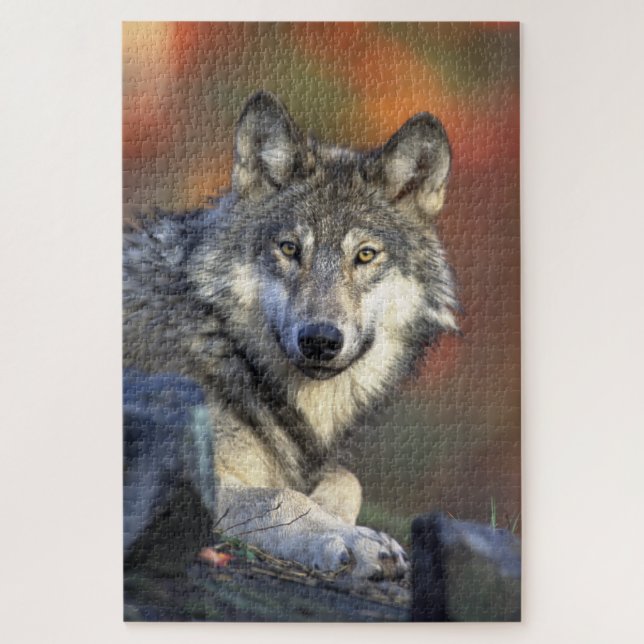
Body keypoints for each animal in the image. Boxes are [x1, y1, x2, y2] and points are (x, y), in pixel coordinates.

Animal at [123, 91, 458, 580]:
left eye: (365, 255)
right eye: (289, 249)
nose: (320, 340)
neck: (227, 346)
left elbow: (347, 480)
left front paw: (340, 519)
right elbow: (283, 497)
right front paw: (352, 540)